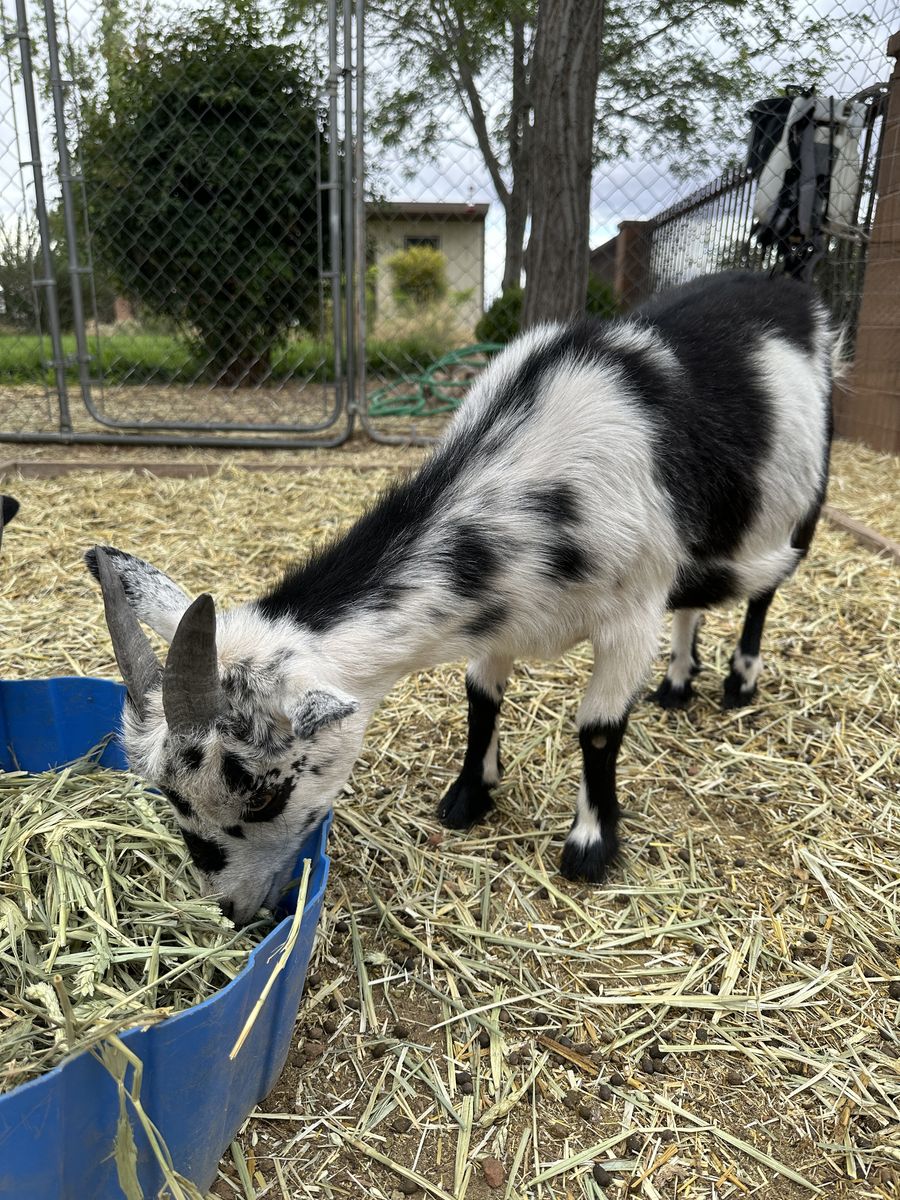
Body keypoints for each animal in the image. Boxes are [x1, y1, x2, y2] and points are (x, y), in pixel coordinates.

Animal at [86, 272, 838, 926]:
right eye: (168, 797)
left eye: (266, 794)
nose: (235, 912)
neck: (536, 481)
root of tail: (789, 286)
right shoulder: (499, 610)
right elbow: (481, 699)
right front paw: (470, 796)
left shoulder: (631, 613)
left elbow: (597, 729)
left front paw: (591, 846)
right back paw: (679, 683)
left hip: (801, 507)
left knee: (766, 590)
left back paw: (738, 682)